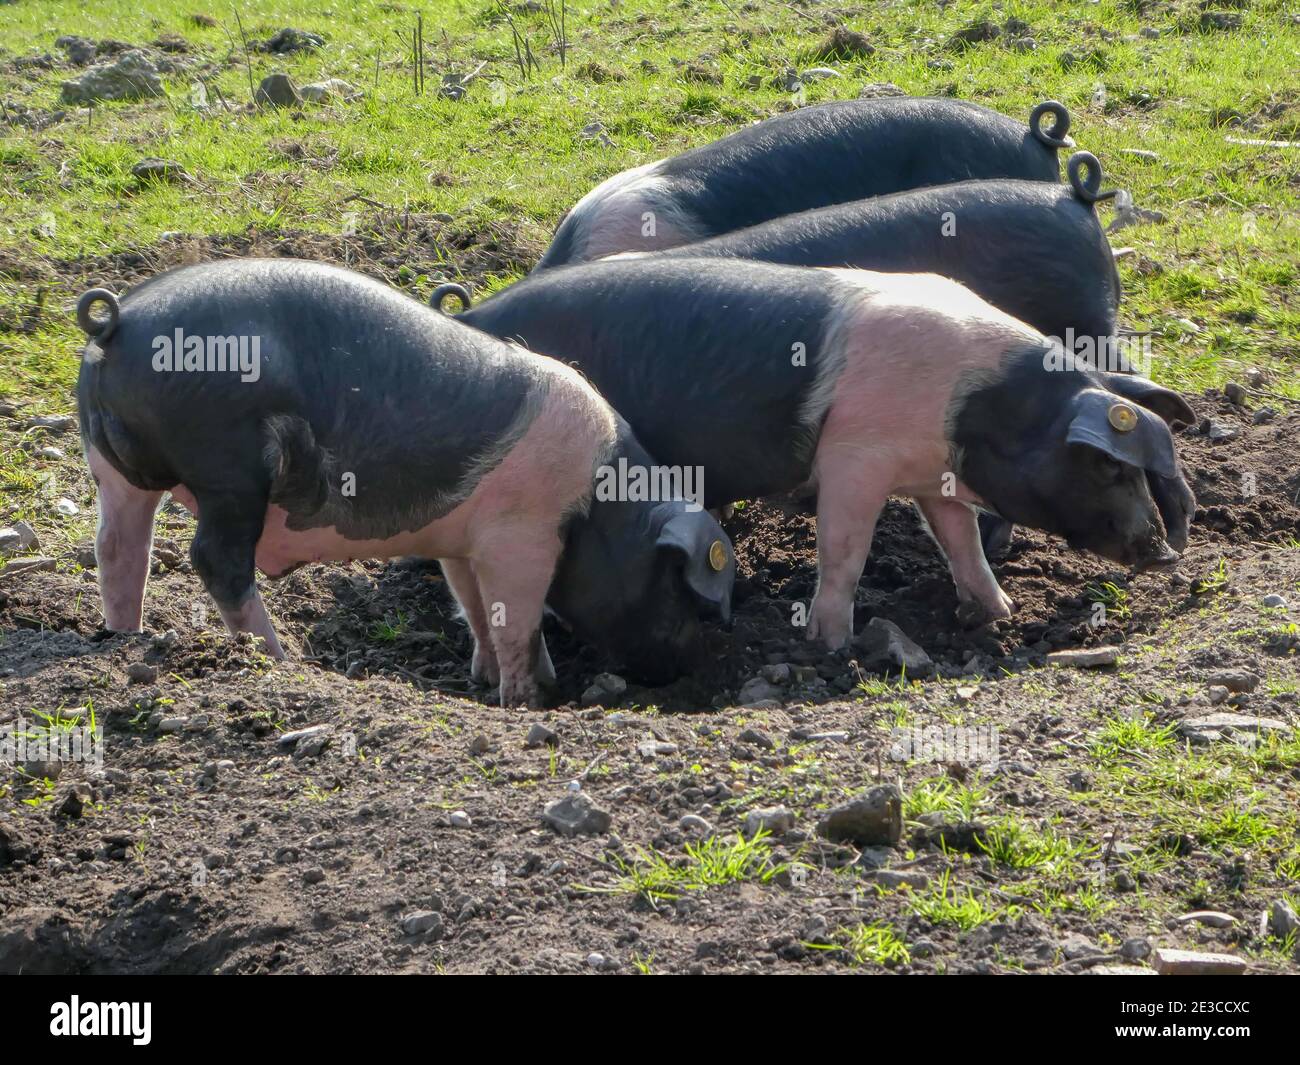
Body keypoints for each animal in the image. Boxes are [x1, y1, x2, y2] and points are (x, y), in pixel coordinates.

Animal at [76, 258, 738, 707]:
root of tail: (117, 326)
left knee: (117, 547)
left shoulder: (465, 543)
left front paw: (488, 679)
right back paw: (275, 658)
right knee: (214, 560)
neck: (596, 504)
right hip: (229, 470)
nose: (692, 663)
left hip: (112, 466)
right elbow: (516, 618)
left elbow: (474, 606)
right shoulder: (521, 536)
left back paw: (124, 638)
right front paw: (528, 700)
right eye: (675, 585)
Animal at [439, 260, 1196, 650]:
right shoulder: (855, 456)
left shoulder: (935, 475)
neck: (977, 406)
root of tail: (468, 318)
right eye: (1107, 465)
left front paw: (995, 615)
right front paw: (832, 644)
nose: (1163, 552)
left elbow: (960, 543)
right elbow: (845, 549)